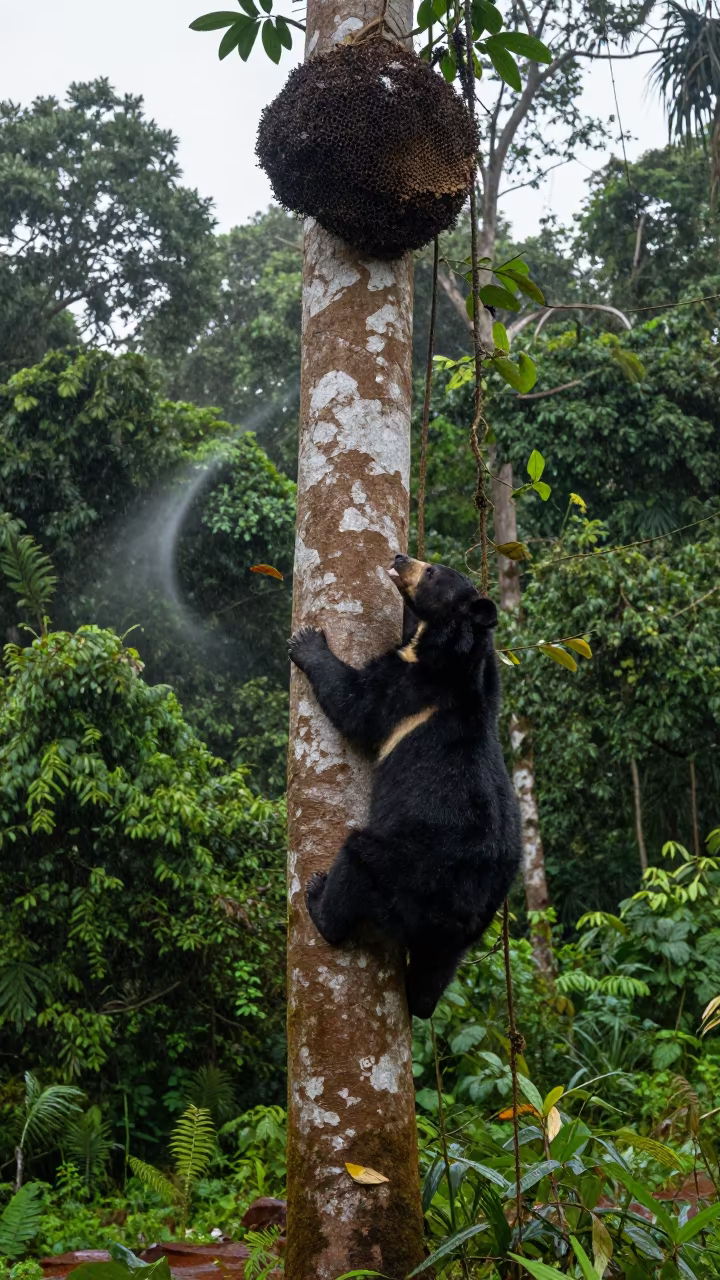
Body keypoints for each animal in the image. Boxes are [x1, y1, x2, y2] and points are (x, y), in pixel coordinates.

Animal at [288, 553, 522, 1019]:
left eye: (432, 572)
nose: (399, 557)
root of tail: (462, 910)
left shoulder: (409, 690)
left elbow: (358, 705)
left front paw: (307, 642)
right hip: (464, 930)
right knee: (436, 972)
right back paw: (420, 1003)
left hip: (410, 865)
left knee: (358, 861)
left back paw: (319, 901)